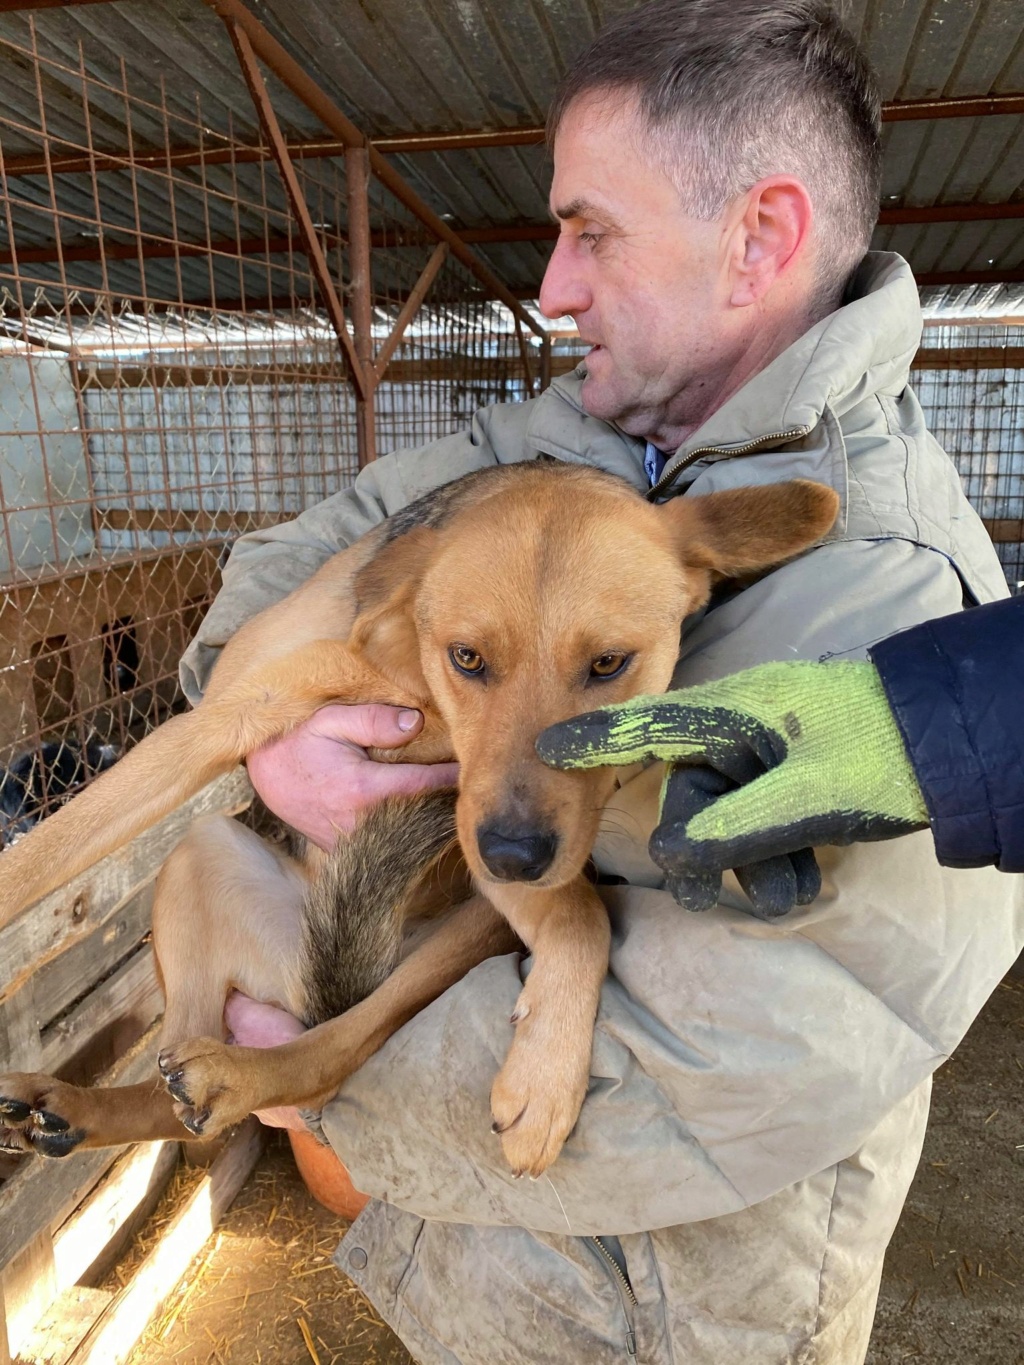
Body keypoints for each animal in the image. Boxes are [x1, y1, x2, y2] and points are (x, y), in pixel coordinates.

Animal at [0, 464, 835, 1179]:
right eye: (466, 657)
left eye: (608, 664)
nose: (513, 857)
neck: (409, 675)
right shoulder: (225, 720)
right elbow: (45, 855)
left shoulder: (487, 827)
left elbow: (583, 913)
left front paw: (546, 1076)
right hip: (199, 855)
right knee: (173, 1067)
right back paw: (73, 1106)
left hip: (448, 942)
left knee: (322, 1056)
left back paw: (226, 1079)